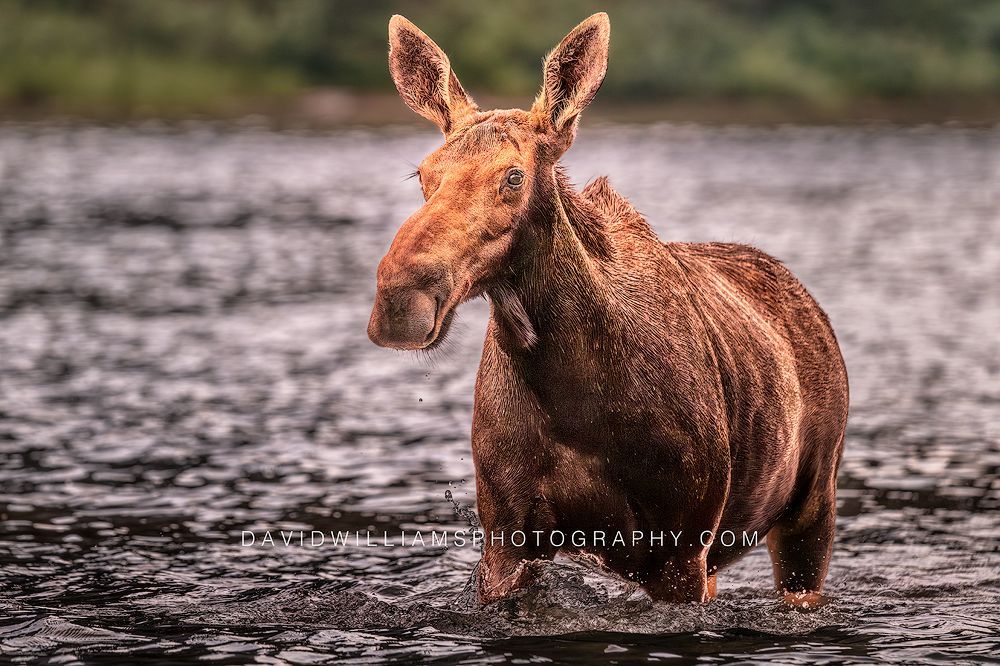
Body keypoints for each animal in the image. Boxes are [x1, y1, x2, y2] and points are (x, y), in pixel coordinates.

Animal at [367, 12, 849, 610]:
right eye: (423, 174)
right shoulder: (506, 538)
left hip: (812, 507)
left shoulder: (682, 545)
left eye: (513, 176)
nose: (399, 298)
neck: (571, 388)